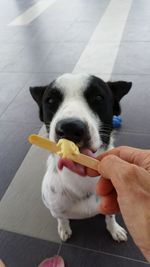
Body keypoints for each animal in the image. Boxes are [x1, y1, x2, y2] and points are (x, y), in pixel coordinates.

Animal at [29, 73, 132, 243]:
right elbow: (62, 218)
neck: (80, 178)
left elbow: (110, 216)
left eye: (98, 98)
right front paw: (64, 228)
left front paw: (114, 229)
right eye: (50, 101)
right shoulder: (56, 208)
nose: (70, 128)